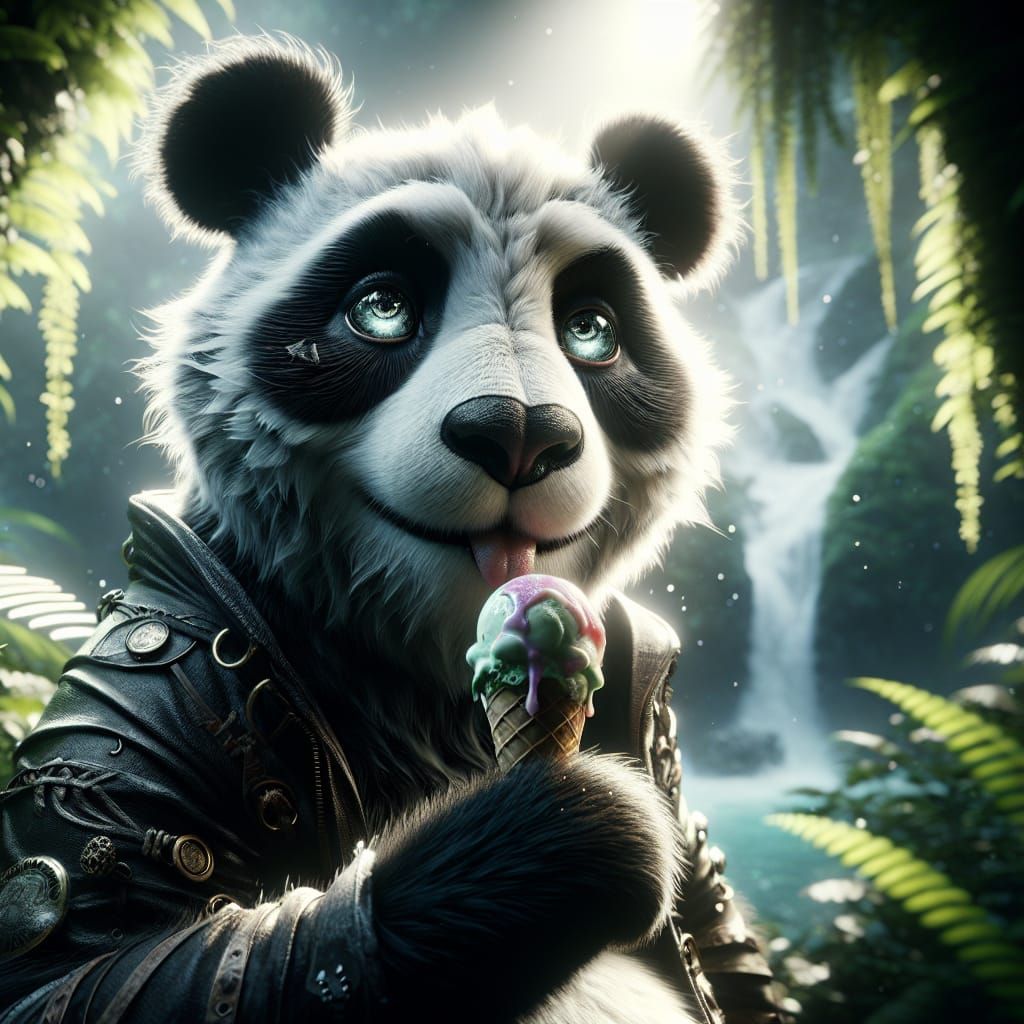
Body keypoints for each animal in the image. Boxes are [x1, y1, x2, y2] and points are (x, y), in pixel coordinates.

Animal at [0, 35, 775, 1024]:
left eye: (592, 330)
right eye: (383, 307)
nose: (519, 435)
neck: (418, 668)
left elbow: (718, 932)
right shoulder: (150, 686)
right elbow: (81, 975)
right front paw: (570, 831)